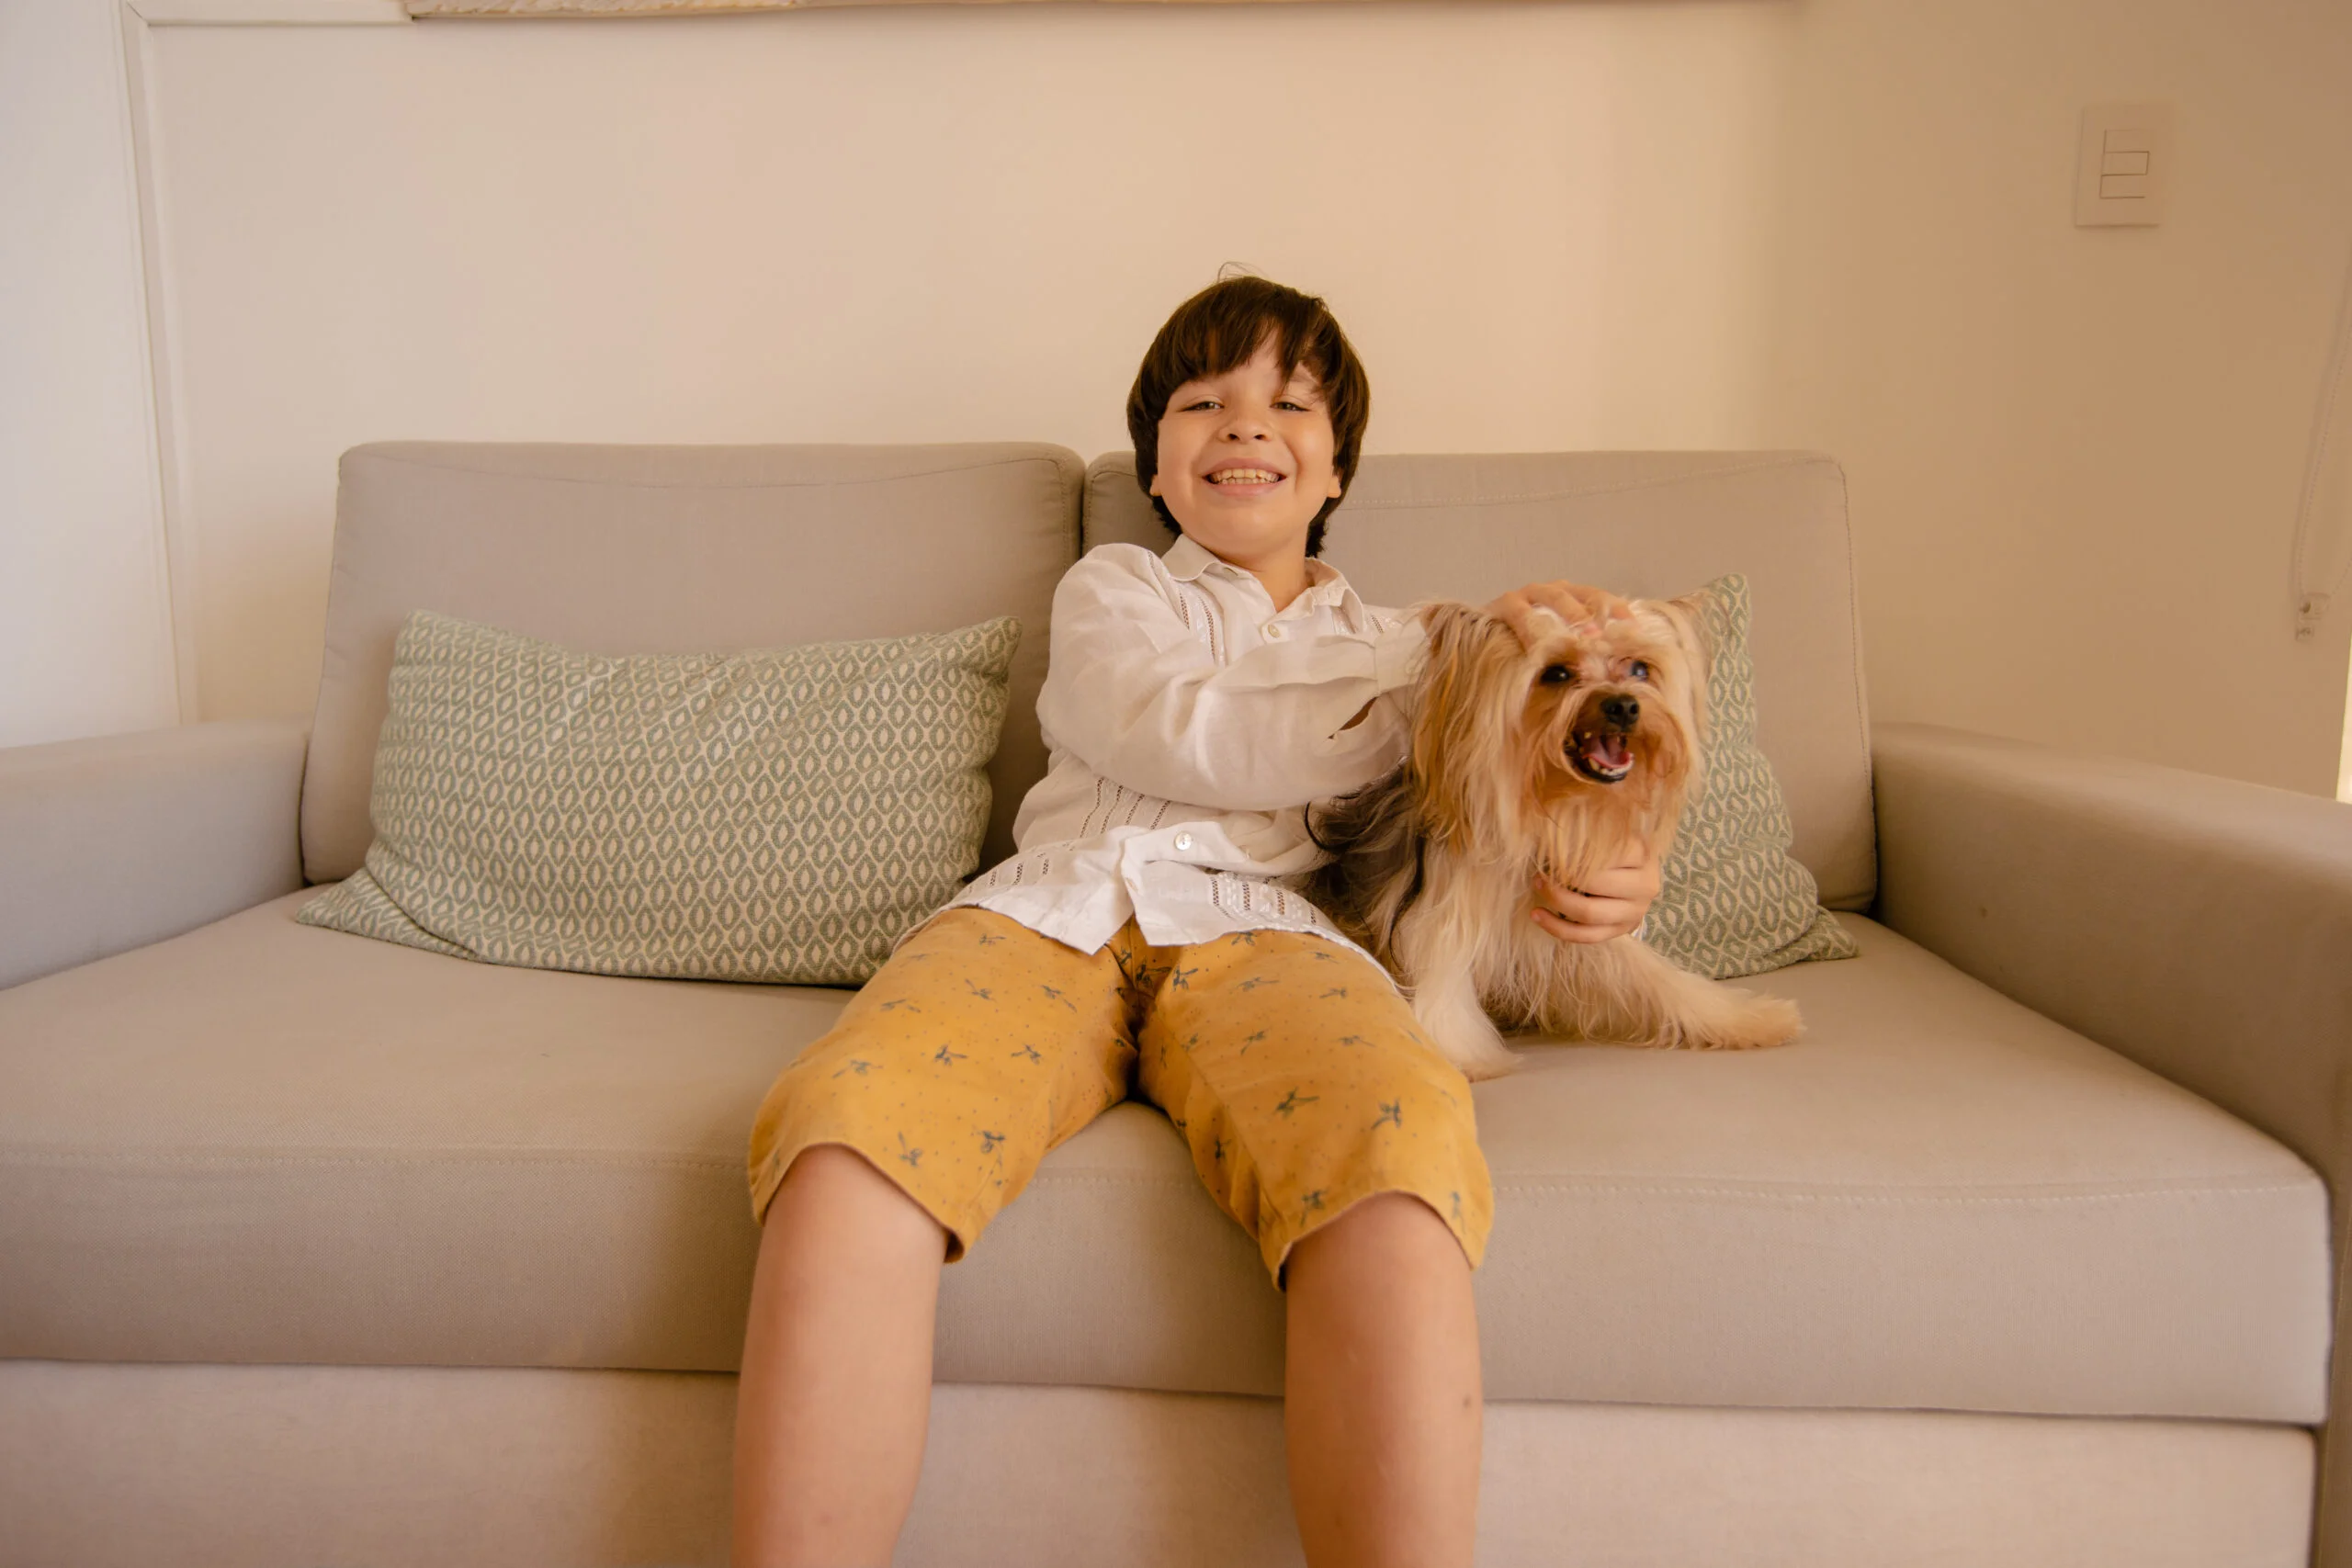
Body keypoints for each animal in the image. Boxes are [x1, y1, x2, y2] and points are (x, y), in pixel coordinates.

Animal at [1307, 592, 1796, 1081]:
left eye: (1640, 669)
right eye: (1556, 674)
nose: (1624, 706)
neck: (1555, 806)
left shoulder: (1589, 924)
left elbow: (1664, 982)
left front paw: (1751, 1021)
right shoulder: (1439, 918)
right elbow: (1443, 986)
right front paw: (1466, 1058)